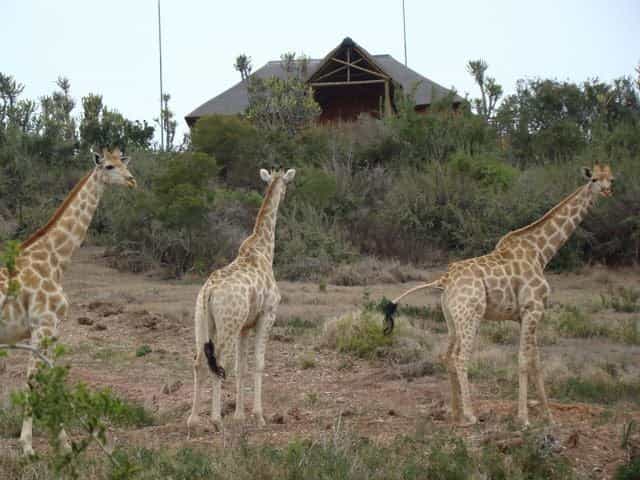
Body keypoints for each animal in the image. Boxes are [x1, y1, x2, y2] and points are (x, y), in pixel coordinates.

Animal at [0, 148, 136, 455]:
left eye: (123, 163)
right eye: (109, 166)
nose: (132, 181)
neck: (55, 259)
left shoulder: (51, 329)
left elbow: (50, 379)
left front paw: (63, 443)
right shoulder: (43, 324)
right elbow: (34, 380)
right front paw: (28, 446)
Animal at [187, 167, 296, 435]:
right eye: (287, 182)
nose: (285, 195)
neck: (264, 250)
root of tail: (208, 291)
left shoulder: (244, 326)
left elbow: (241, 367)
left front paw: (238, 416)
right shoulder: (267, 316)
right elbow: (258, 363)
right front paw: (258, 416)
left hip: (201, 322)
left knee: (199, 362)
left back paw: (193, 421)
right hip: (226, 324)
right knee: (218, 362)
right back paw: (215, 420)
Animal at [384, 164, 614, 426]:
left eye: (611, 179)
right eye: (594, 179)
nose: (607, 190)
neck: (541, 253)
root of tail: (445, 279)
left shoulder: (528, 315)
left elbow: (536, 361)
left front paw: (549, 417)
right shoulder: (533, 309)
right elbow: (524, 360)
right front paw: (524, 418)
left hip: (452, 319)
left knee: (447, 356)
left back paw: (455, 413)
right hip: (470, 317)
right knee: (461, 358)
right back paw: (471, 414)